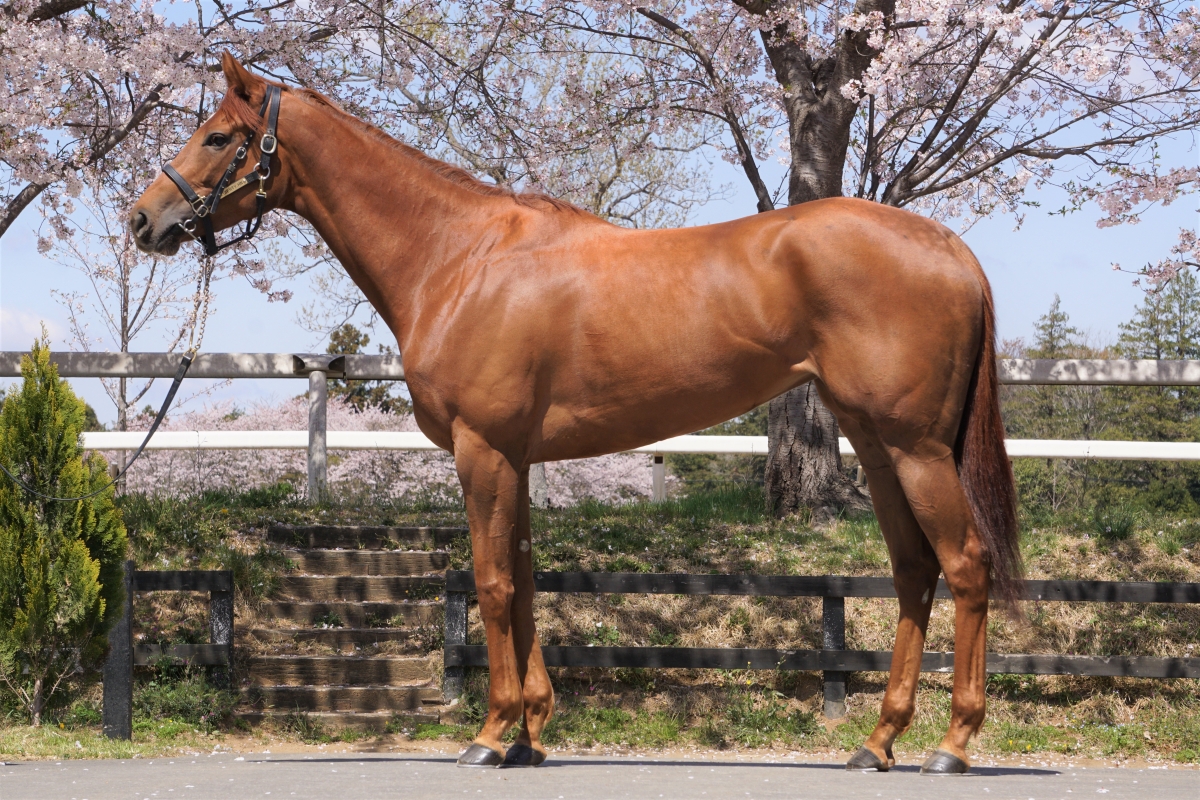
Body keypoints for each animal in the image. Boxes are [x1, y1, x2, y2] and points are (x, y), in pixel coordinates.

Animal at [131, 53, 1020, 774]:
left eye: (218, 135)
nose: (143, 219)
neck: (461, 257)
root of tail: (948, 246)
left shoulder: (482, 450)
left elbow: (491, 584)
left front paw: (491, 735)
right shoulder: (515, 458)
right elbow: (524, 581)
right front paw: (531, 732)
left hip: (916, 449)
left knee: (966, 564)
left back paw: (952, 743)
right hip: (877, 447)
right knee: (913, 571)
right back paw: (879, 741)